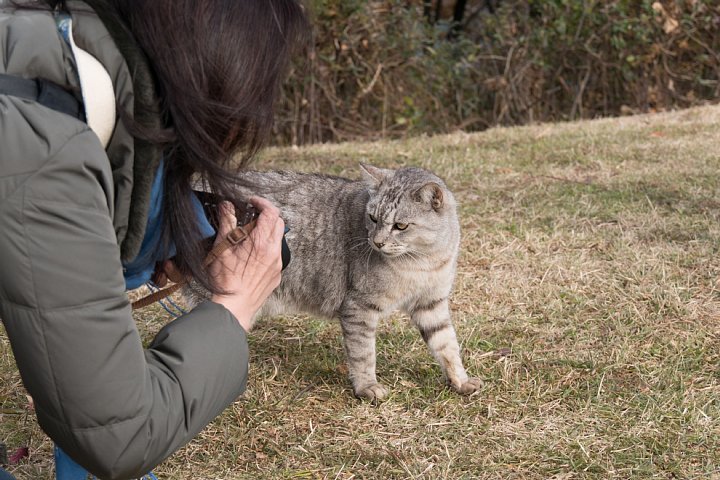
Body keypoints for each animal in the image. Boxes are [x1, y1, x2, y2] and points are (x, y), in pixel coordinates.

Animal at [191, 165, 478, 402]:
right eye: (373, 218)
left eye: (400, 225)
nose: (377, 242)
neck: (423, 261)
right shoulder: (359, 306)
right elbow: (363, 353)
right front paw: (367, 387)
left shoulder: (431, 303)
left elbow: (447, 344)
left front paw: (460, 380)